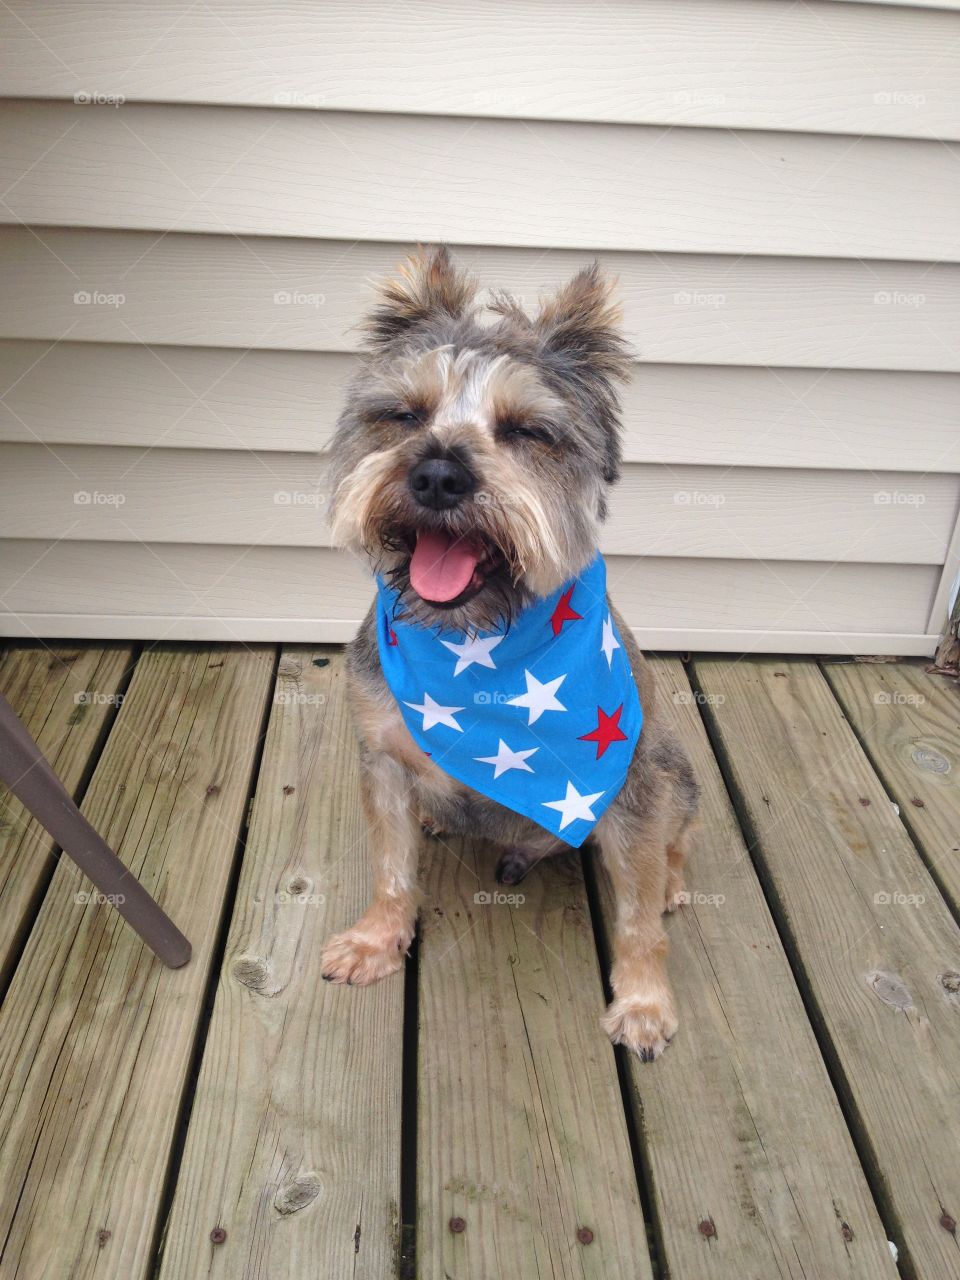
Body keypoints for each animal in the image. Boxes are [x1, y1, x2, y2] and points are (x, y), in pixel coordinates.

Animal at [321, 247, 701, 1059]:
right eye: (403, 414)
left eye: (529, 430)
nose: (437, 474)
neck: (477, 644)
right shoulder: (382, 759)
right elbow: (390, 868)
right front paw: (375, 940)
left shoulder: (631, 788)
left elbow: (636, 920)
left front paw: (645, 1002)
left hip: (674, 770)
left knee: (674, 845)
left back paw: (672, 880)